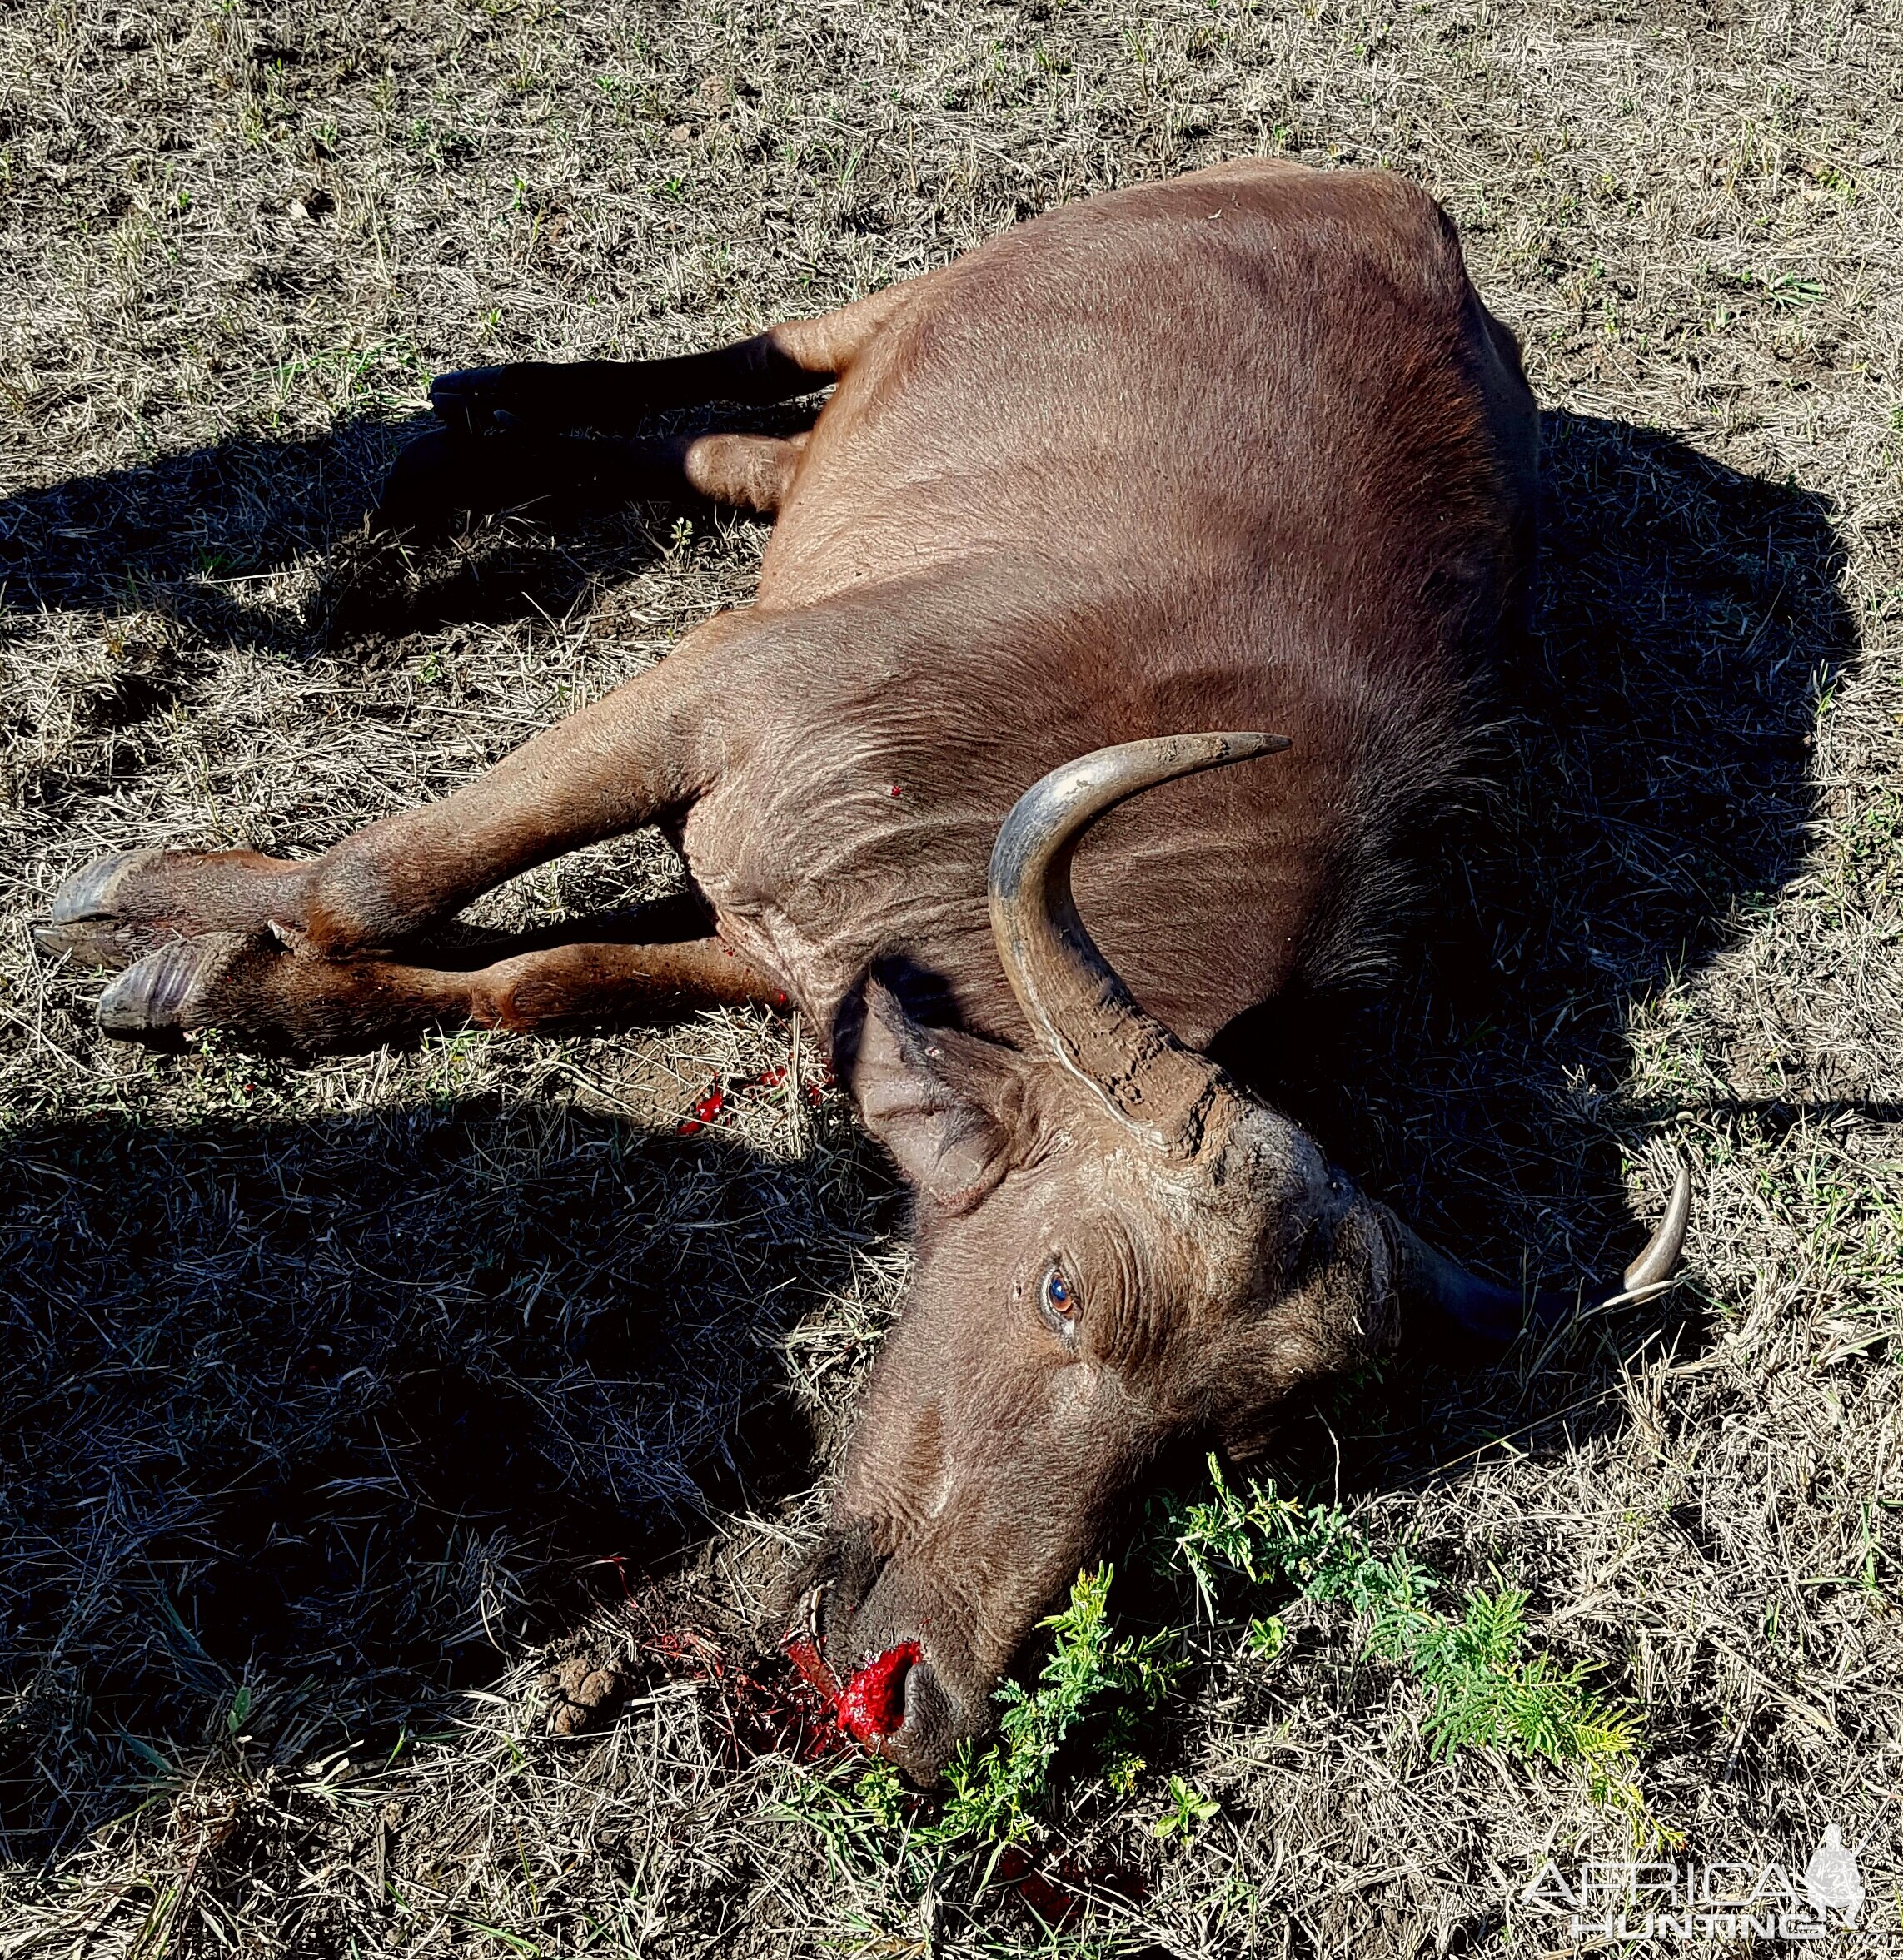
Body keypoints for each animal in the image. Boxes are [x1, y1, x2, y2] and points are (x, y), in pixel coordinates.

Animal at [41, 164, 1685, 1779]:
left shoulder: (784, 949)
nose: (908, 1698)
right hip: (920, 294)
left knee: (733, 453)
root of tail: (1397, 207)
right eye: (1065, 1285)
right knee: (762, 358)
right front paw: (142, 907)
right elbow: (375, 881)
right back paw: (474, 414)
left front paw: (226, 986)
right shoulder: (705, 694)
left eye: (1228, 1444)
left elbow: (539, 977)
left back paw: (478, 447)